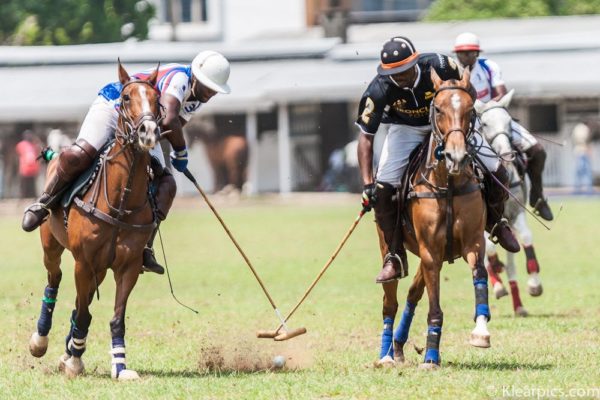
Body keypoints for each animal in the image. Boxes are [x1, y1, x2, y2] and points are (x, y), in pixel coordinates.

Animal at [28, 62, 161, 382]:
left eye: (157, 100)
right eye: (126, 97)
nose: (148, 131)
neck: (121, 202)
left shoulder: (128, 266)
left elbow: (115, 318)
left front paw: (120, 366)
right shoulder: (83, 262)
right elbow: (84, 312)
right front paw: (74, 361)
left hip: (99, 269)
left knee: (80, 300)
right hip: (52, 246)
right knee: (54, 280)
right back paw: (41, 340)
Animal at [378, 68, 490, 368]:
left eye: (470, 109)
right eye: (437, 109)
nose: (456, 156)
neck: (448, 184)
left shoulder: (472, 243)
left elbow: (480, 275)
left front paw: (481, 332)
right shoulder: (430, 251)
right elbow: (435, 308)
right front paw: (431, 357)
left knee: (412, 294)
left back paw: (399, 346)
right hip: (391, 246)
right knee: (390, 301)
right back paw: (385, 354)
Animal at [478, 89, 544, 318]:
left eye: (509, 122)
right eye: (484, 124)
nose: (507, 154)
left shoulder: (516, 215)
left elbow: (526, 238)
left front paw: (534, 285)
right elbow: (488, 248)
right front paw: (497, 284)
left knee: (512, 262)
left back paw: (519, 305)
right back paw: (498, 283)